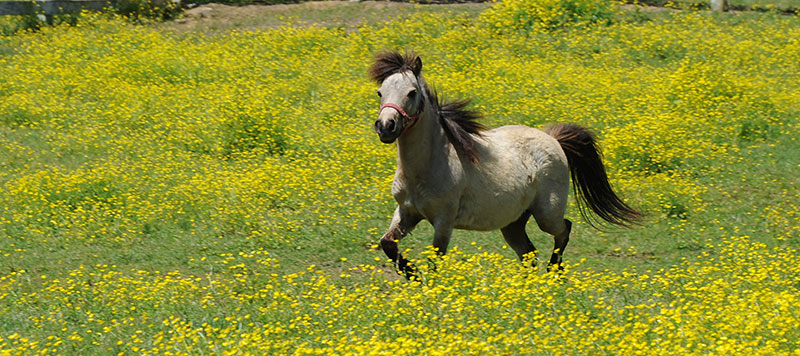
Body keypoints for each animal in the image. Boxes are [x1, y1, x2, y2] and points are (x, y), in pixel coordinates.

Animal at [370, 50, 644, 278]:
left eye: (412, 92)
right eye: (380, 92)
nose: (386, 127)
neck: (425, 168)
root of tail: (553, 139)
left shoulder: (443, 221)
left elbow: (435, 262)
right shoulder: (406, 212)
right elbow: (387, 244)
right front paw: (412, 274)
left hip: (546, 214)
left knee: (563, 230)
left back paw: (554, 273)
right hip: (513, 223)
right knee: (529, 253)